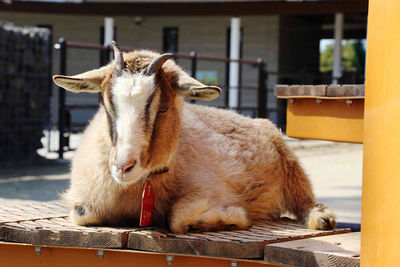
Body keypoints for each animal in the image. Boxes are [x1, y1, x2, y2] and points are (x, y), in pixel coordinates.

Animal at [52, 43, 334, 233]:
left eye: (163, 108)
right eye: (104, 102)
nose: (123, 166)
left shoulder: (209, 189)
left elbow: (177, 219)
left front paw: (235, 217)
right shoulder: (84, 201)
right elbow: (82, 213)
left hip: (292, 168)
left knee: (305, 200)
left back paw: (322, 219)